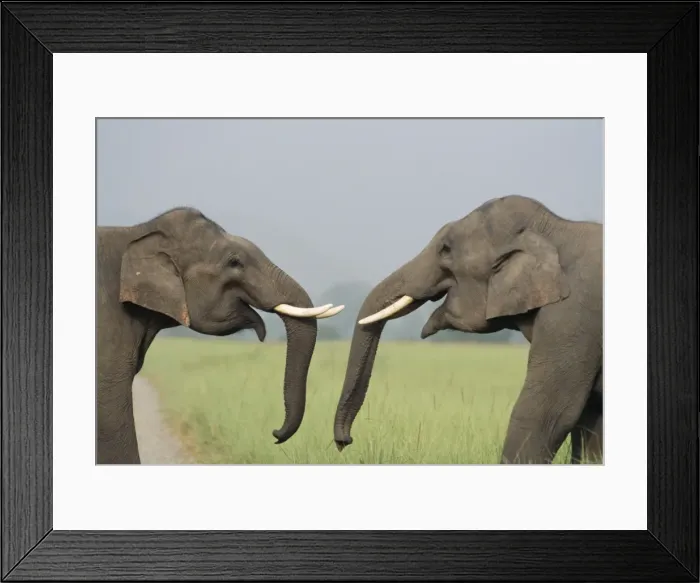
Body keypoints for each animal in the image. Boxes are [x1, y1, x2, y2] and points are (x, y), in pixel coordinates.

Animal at [333, 195, 602, 464]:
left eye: (446, 250)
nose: (344, 441)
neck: (554, 228)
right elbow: (590, 419)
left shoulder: (572, 315)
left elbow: (548, 412)